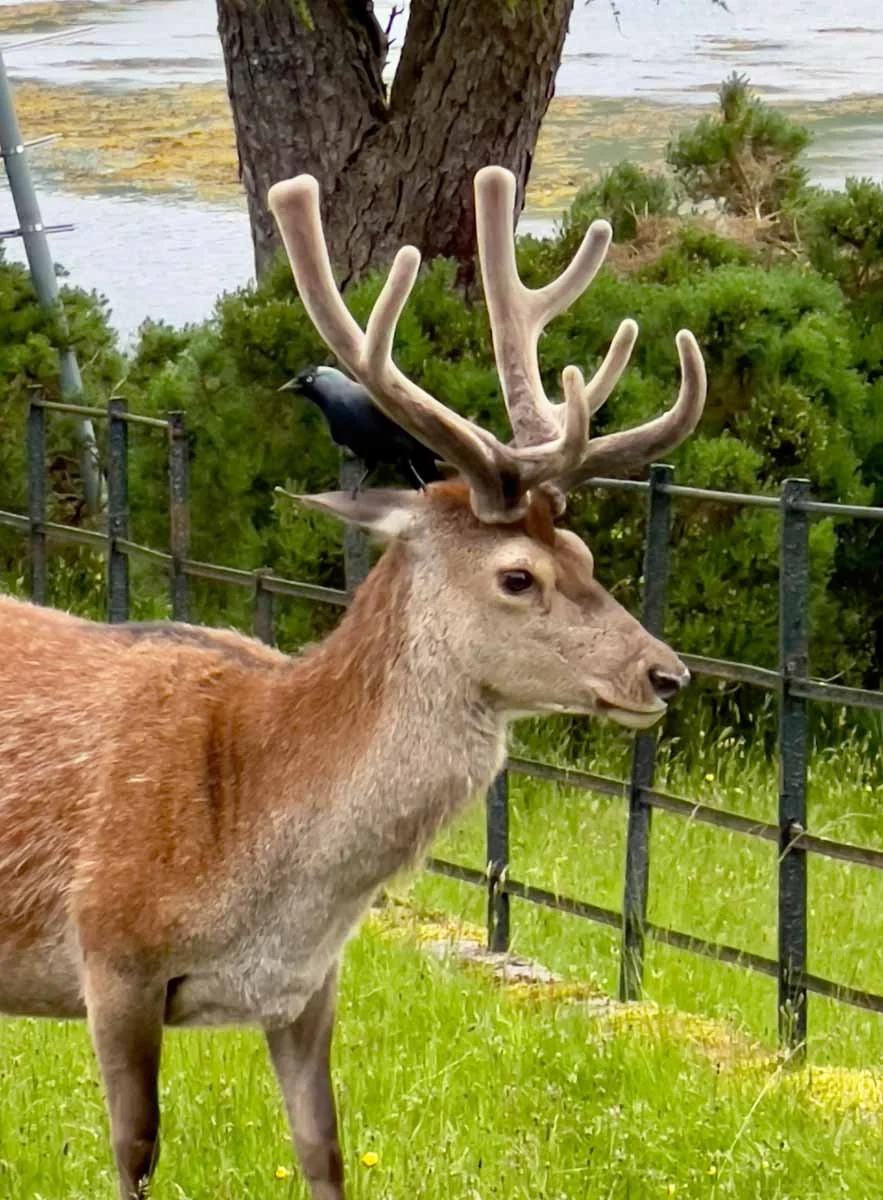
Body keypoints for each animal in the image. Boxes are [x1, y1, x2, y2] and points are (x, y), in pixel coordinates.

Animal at [0, 165, 706, 1200]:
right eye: (517, 576)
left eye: (580, 551)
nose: (664, 673)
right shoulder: (113, 953)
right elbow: (133, 1155)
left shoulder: (308, 988)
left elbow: (323, 1151)